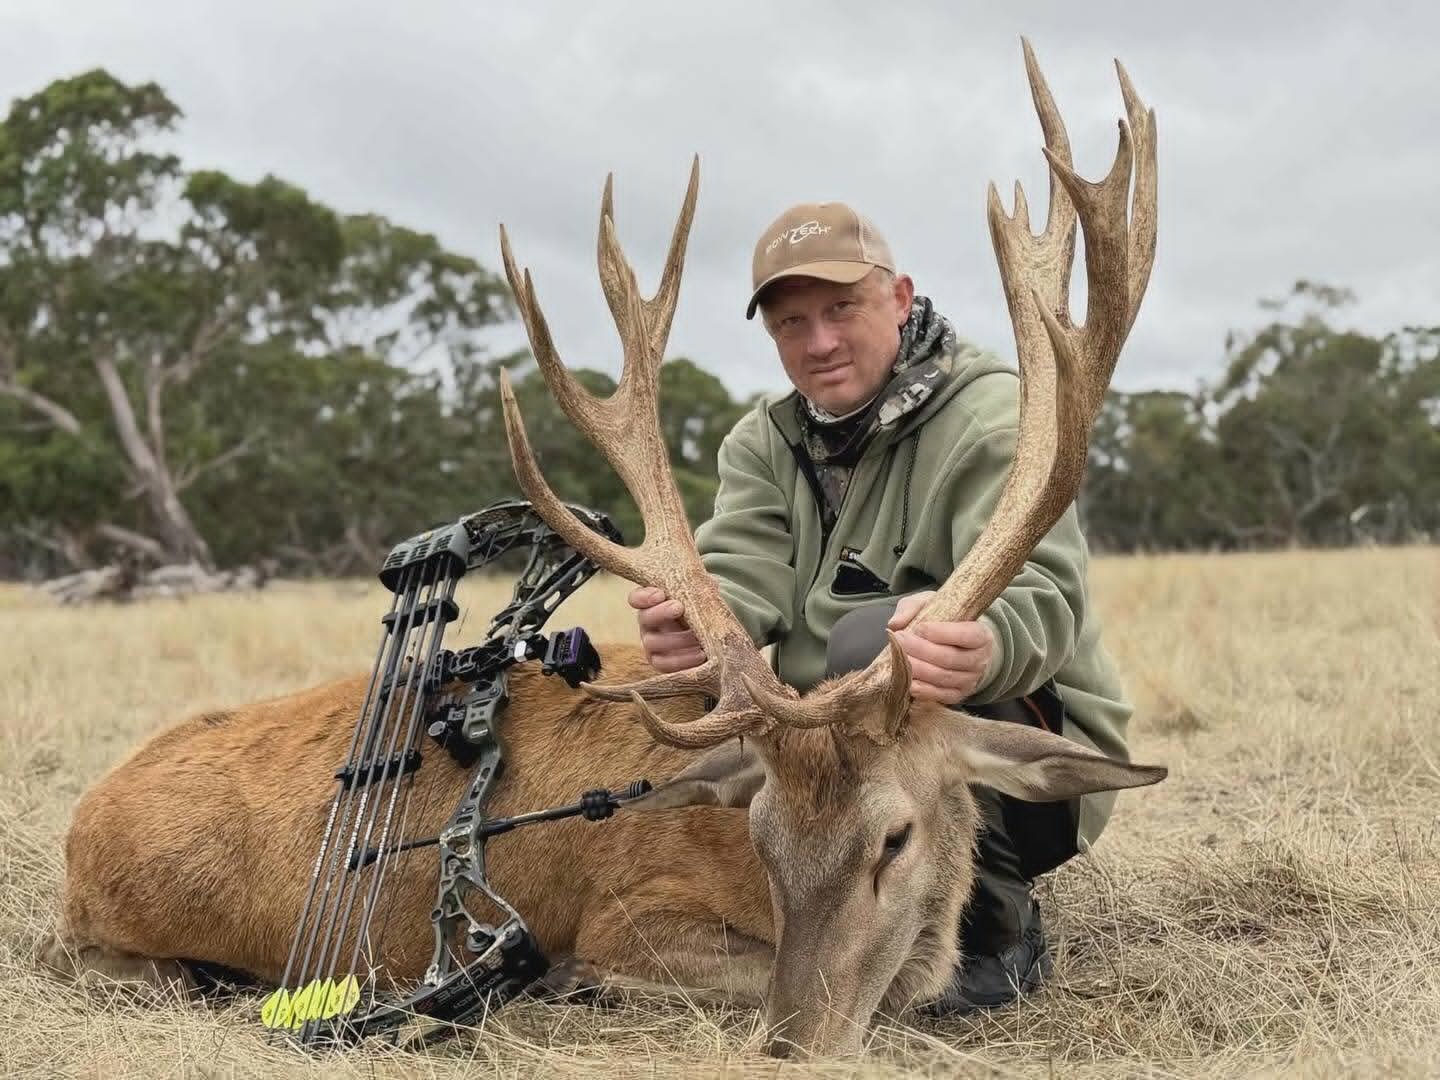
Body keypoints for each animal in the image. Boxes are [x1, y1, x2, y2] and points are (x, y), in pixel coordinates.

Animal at [40, 41, 1161, 1060]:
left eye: (896, 836)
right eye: (763, 834)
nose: (791, 1047)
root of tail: (80, 826)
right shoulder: (633, 915)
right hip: (114, 943)